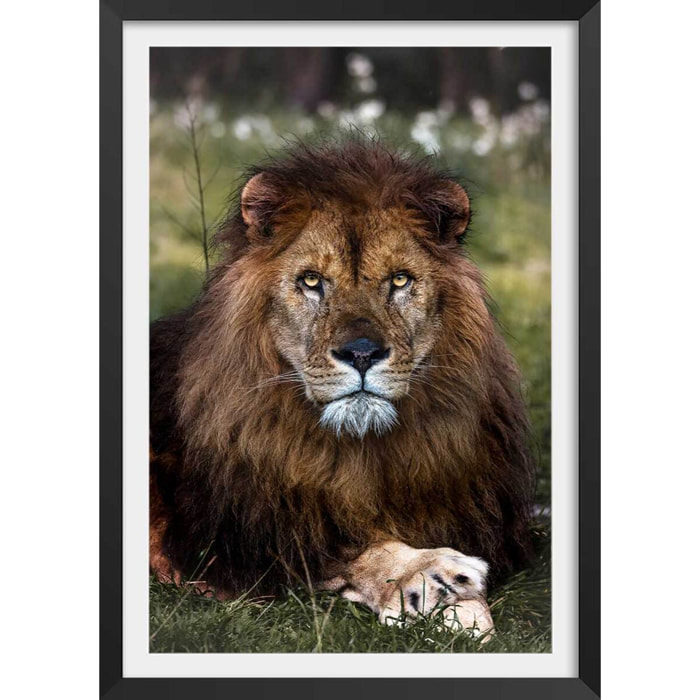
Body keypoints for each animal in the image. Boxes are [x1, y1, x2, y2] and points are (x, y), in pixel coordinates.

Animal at [150, 139, 535, 636]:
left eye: (399, 279)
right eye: (312, 281)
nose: (362, 353)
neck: (360, 450)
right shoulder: (228, 540)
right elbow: (350, 550)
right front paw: (432, 579)